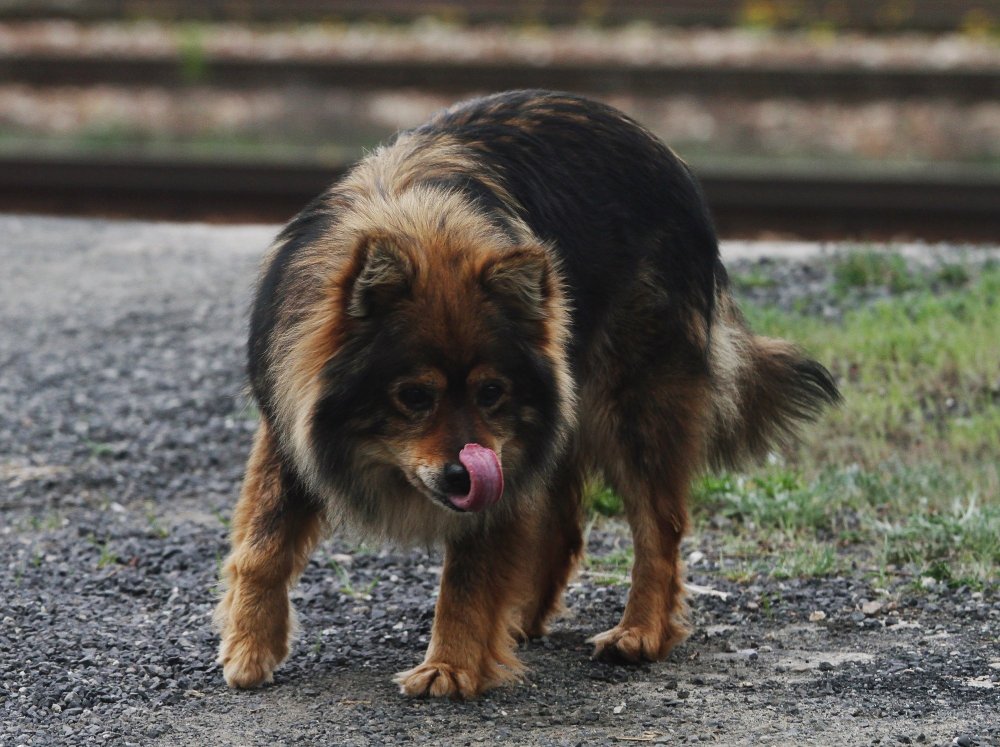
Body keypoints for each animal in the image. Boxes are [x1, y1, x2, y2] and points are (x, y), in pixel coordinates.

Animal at [215, 90, 840, 700]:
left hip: (632, 410)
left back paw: (640, 632)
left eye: (491, 392)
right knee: (564, 527)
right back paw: (521, 620)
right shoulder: (289, 430)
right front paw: (250, 647)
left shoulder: (505, 459)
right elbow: (263, 545)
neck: (420, 226)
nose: (463, 475)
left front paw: (450, 667)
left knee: (658, 528)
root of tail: (669, 158)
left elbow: (469, 575)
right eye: (414, 396)